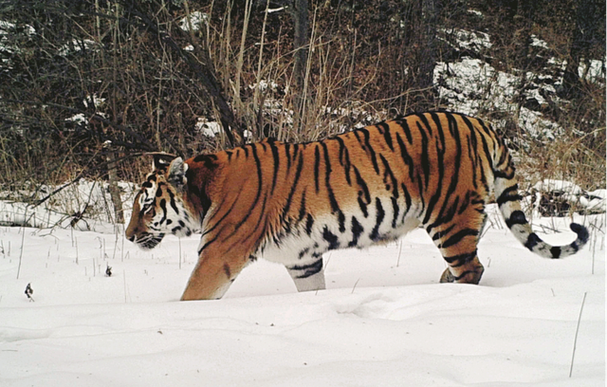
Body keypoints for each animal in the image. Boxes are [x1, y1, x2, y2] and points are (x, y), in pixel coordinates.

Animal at [124, 110, 588, 302]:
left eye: (145, 206)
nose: (128, 236)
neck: (204, 190)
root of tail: (481, 122)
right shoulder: (302, 259)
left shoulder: (219, 254)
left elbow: (191, 296)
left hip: (450, 217)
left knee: (471, 267)